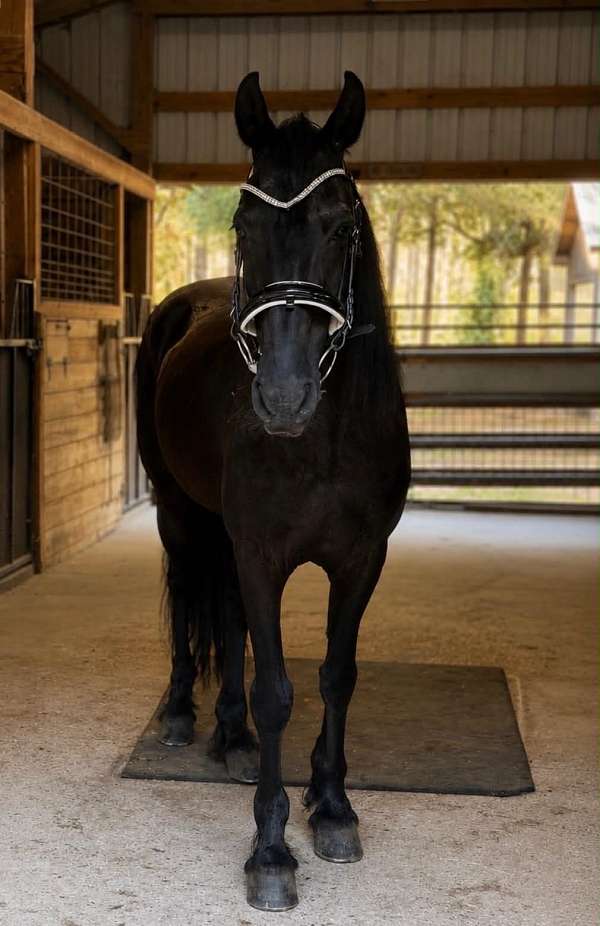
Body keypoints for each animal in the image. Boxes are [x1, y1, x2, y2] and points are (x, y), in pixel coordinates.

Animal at [136, 70, 411, 912]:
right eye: (244, 221)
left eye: (342, 224)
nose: (284, 398)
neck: (321, 443)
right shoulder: (261, 553)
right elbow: (277, 688)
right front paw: (270, 852)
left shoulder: (361, 560)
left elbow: (335, 676)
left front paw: (333, 809)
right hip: (181, 516)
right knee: (192, 603)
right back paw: (186, 715)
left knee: (226, 621)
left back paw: (231, 737)